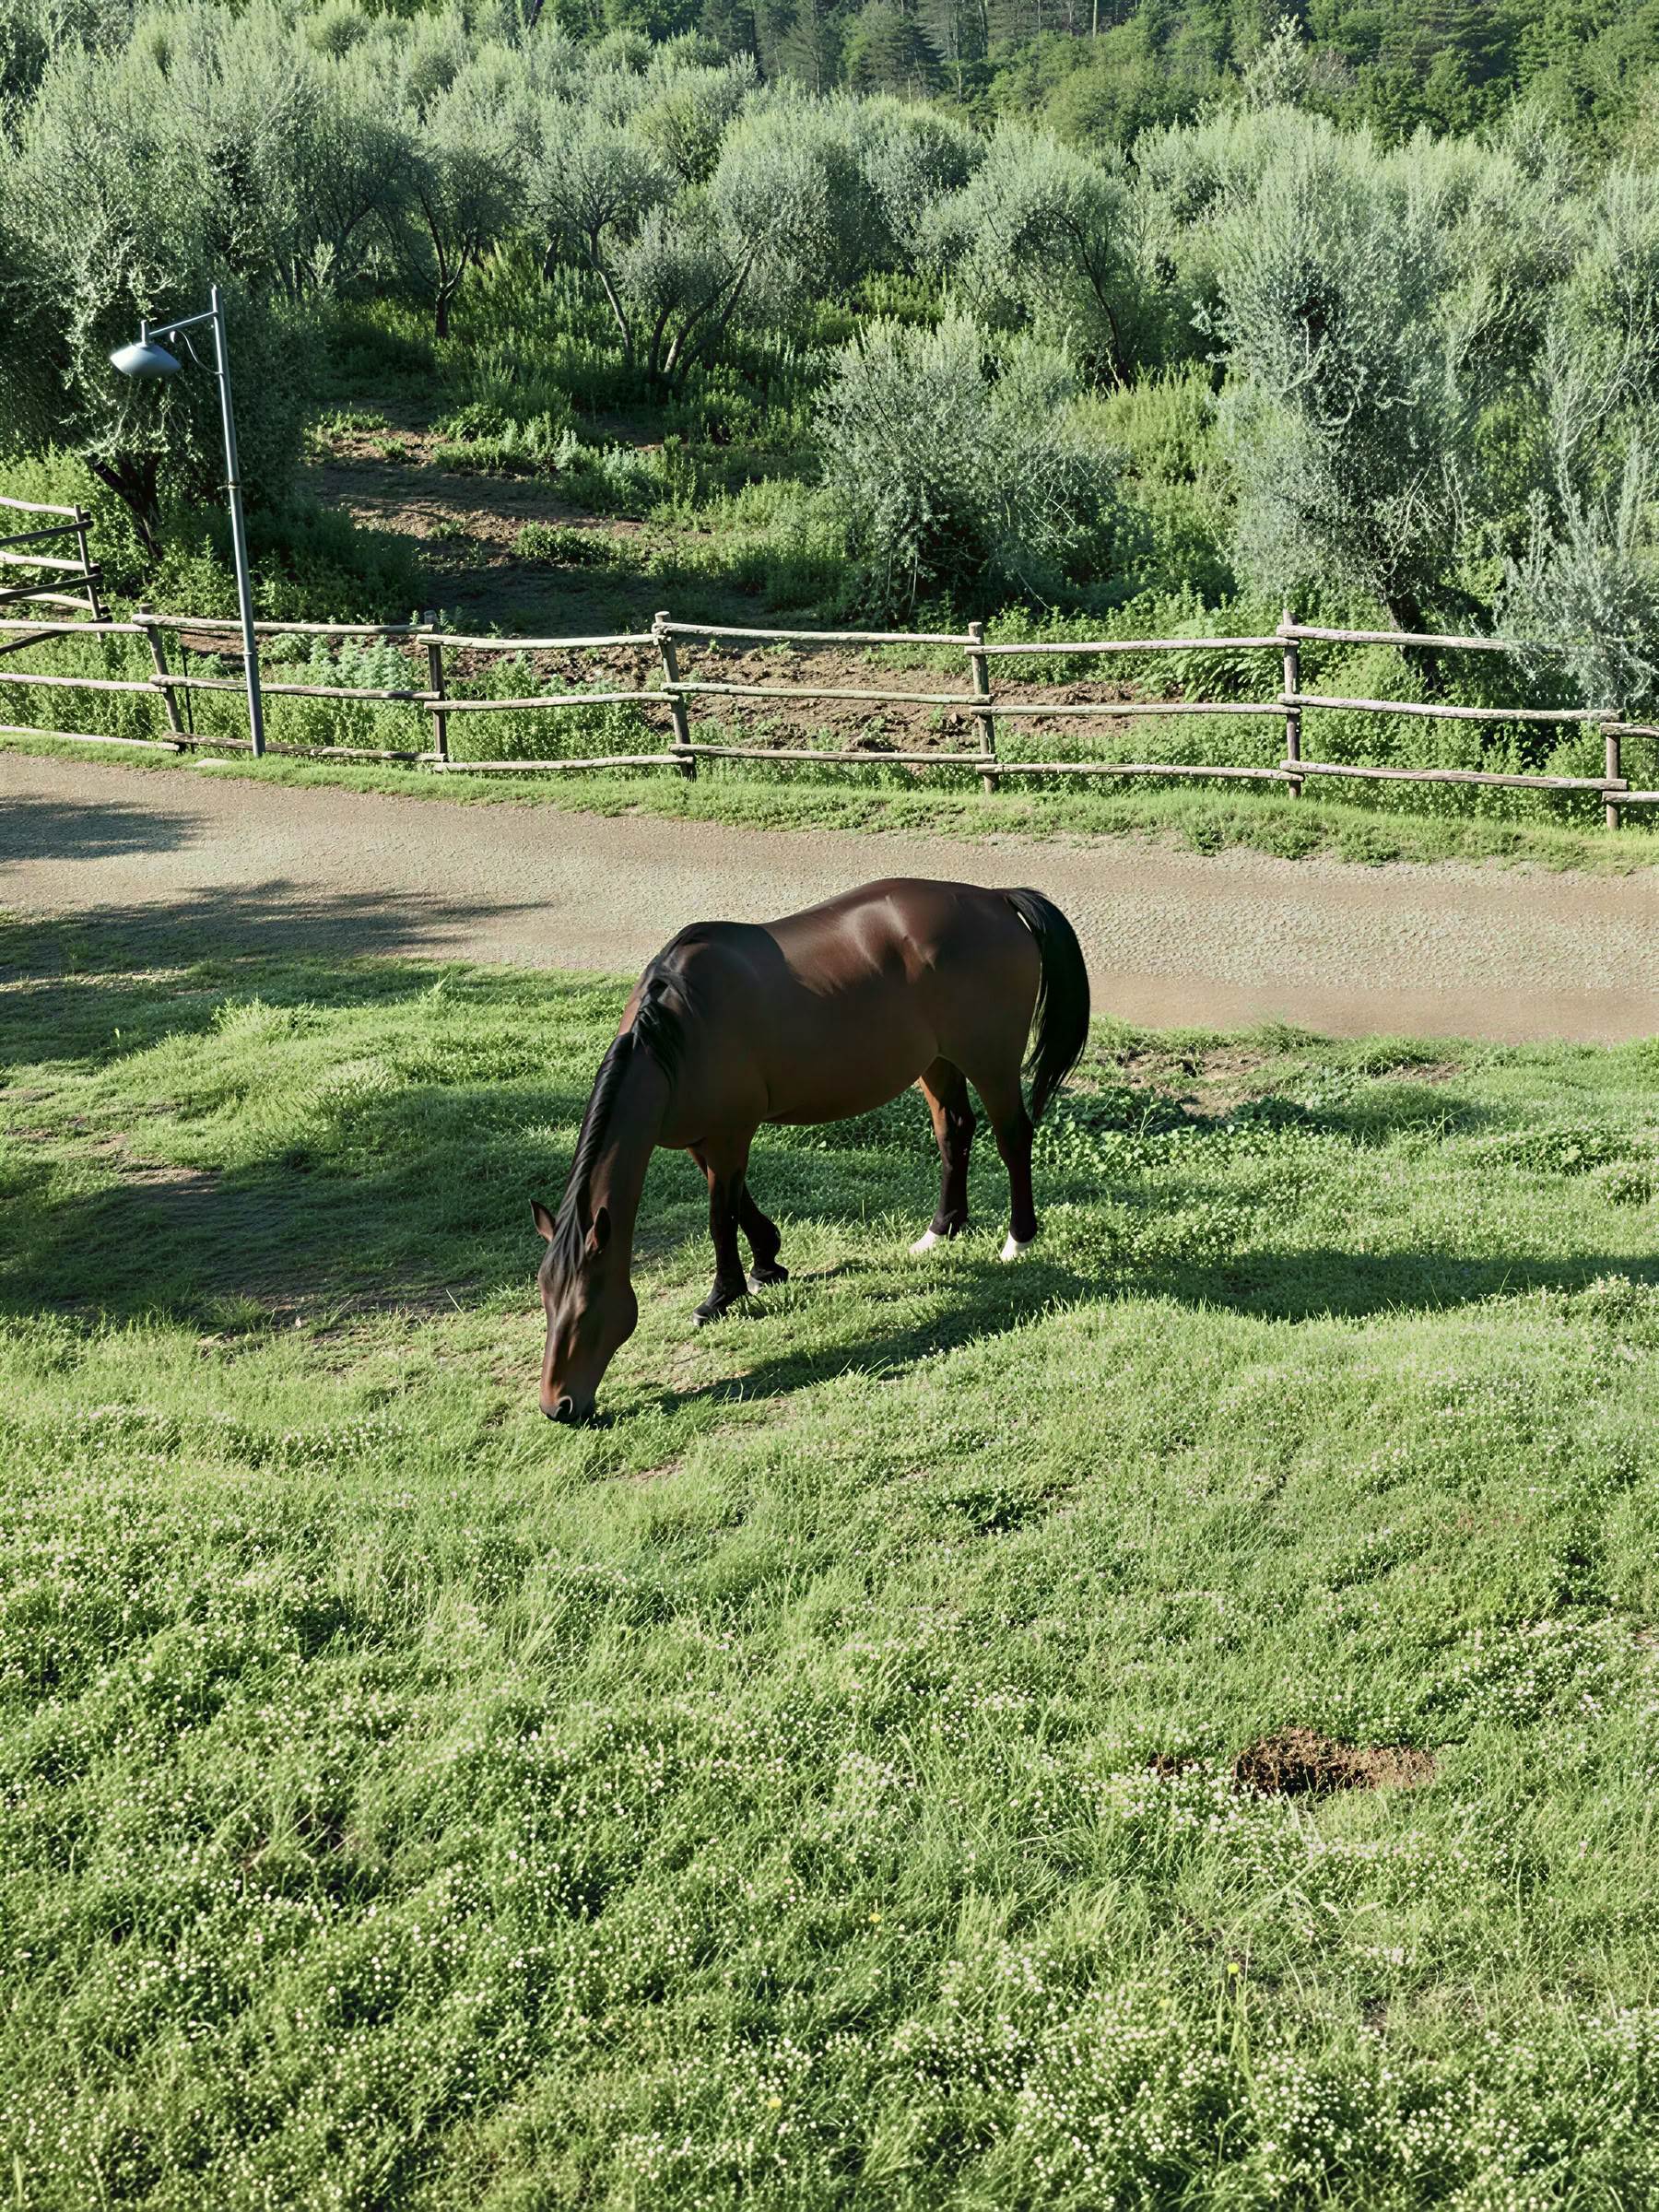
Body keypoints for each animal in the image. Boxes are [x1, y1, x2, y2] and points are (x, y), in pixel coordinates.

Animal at [531, 876, 1090, 1424]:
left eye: (586, 1309)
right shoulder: (700, 1138)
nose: (558, 1406)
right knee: (954, 1132)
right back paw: (940, 1230)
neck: (679, 1030)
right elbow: (739, 1204)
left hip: (989, 1059)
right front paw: (767, 1265)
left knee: (1013, 1136)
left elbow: (720, 1216)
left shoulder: (730, 1133)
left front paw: (722, 1295)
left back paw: (1018, 1240)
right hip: (937, 1061)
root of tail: (995, 900)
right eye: (544, 1299)